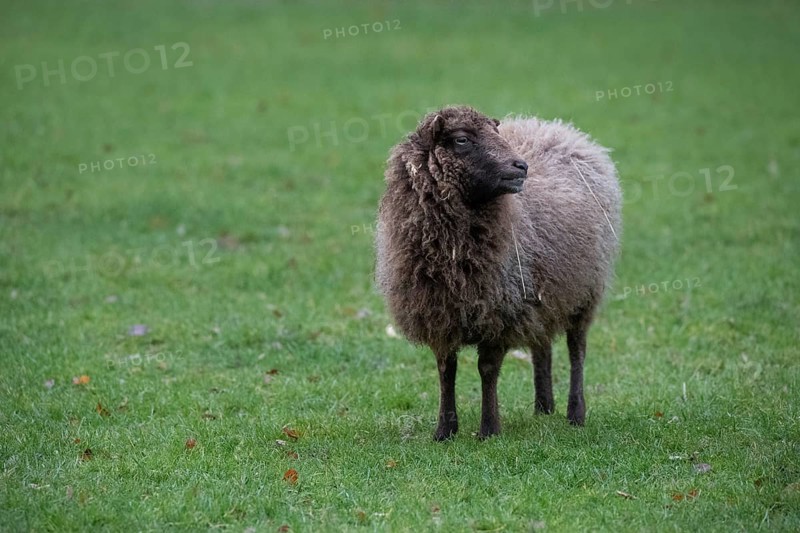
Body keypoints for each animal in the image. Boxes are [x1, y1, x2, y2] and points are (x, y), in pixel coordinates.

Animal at [375, 105, 621, 440]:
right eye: (462, 139)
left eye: (496, 133)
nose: (521, 166)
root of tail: (558, 128)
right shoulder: (440, 313)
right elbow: (446, 369)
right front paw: (445, 431)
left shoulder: (499, 311)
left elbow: (487, 369)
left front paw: (489, 429)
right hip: (542, 292)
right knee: (541, 347)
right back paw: (544, 407)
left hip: (583, 292)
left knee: (576, 350)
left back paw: (575, 413)